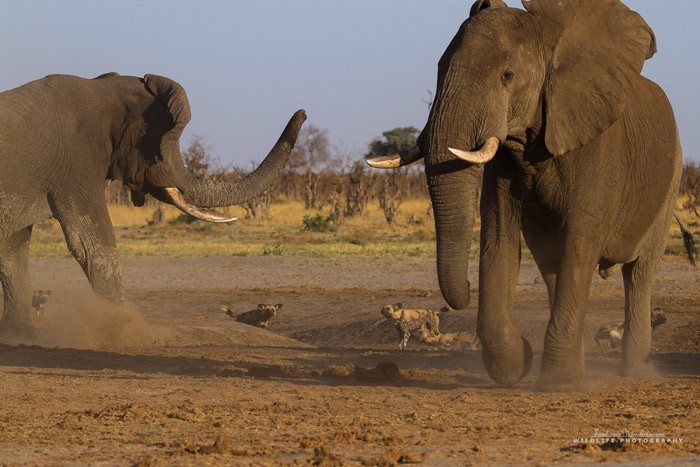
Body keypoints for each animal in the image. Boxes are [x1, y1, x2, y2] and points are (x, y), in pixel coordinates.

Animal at [0, 72, 306, 330]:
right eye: (160, 147)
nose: (302, 112)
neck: (103, 89)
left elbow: (13, 252)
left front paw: (19, 335)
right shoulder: (76, 163)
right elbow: (93, 245)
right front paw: (126, 331)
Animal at [370, 0, 688, 392]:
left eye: (507, 76)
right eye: (440, 68)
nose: (465, 289)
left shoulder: (600, 147)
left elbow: (581, 241)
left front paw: (559, 384)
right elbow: (498, 237)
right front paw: (518, 364)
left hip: (671, 177)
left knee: (639, 273)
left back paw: (635, 373)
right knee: (551, 264)